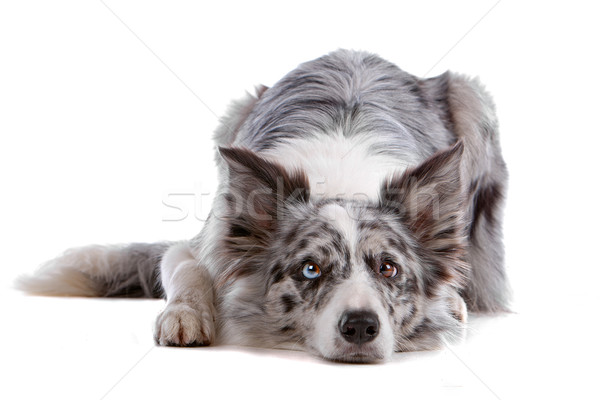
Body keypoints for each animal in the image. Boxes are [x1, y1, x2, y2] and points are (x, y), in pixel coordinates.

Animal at [16, 49, 508, 362]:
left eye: (388, 269)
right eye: (310, 269)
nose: (360, 327)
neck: (341, 183)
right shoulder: (208, 239)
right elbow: (184, 267)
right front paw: (185, 315)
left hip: (471, 96)